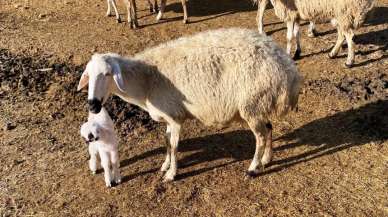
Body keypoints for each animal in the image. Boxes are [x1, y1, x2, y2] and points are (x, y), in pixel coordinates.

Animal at [77, 28, 302, 182]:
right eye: (88, 75)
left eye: (107, 74)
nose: (93, 105)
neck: (145, 81)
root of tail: (288, 69)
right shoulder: (168, 118)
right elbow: (167, 142)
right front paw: (165, 165)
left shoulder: (175, 117)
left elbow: (175, 145)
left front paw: (171, 174)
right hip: (259, 104)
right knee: (269, 128)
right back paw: (267, 160)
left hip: (252, 104)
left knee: (261, 136)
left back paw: (253, 168)